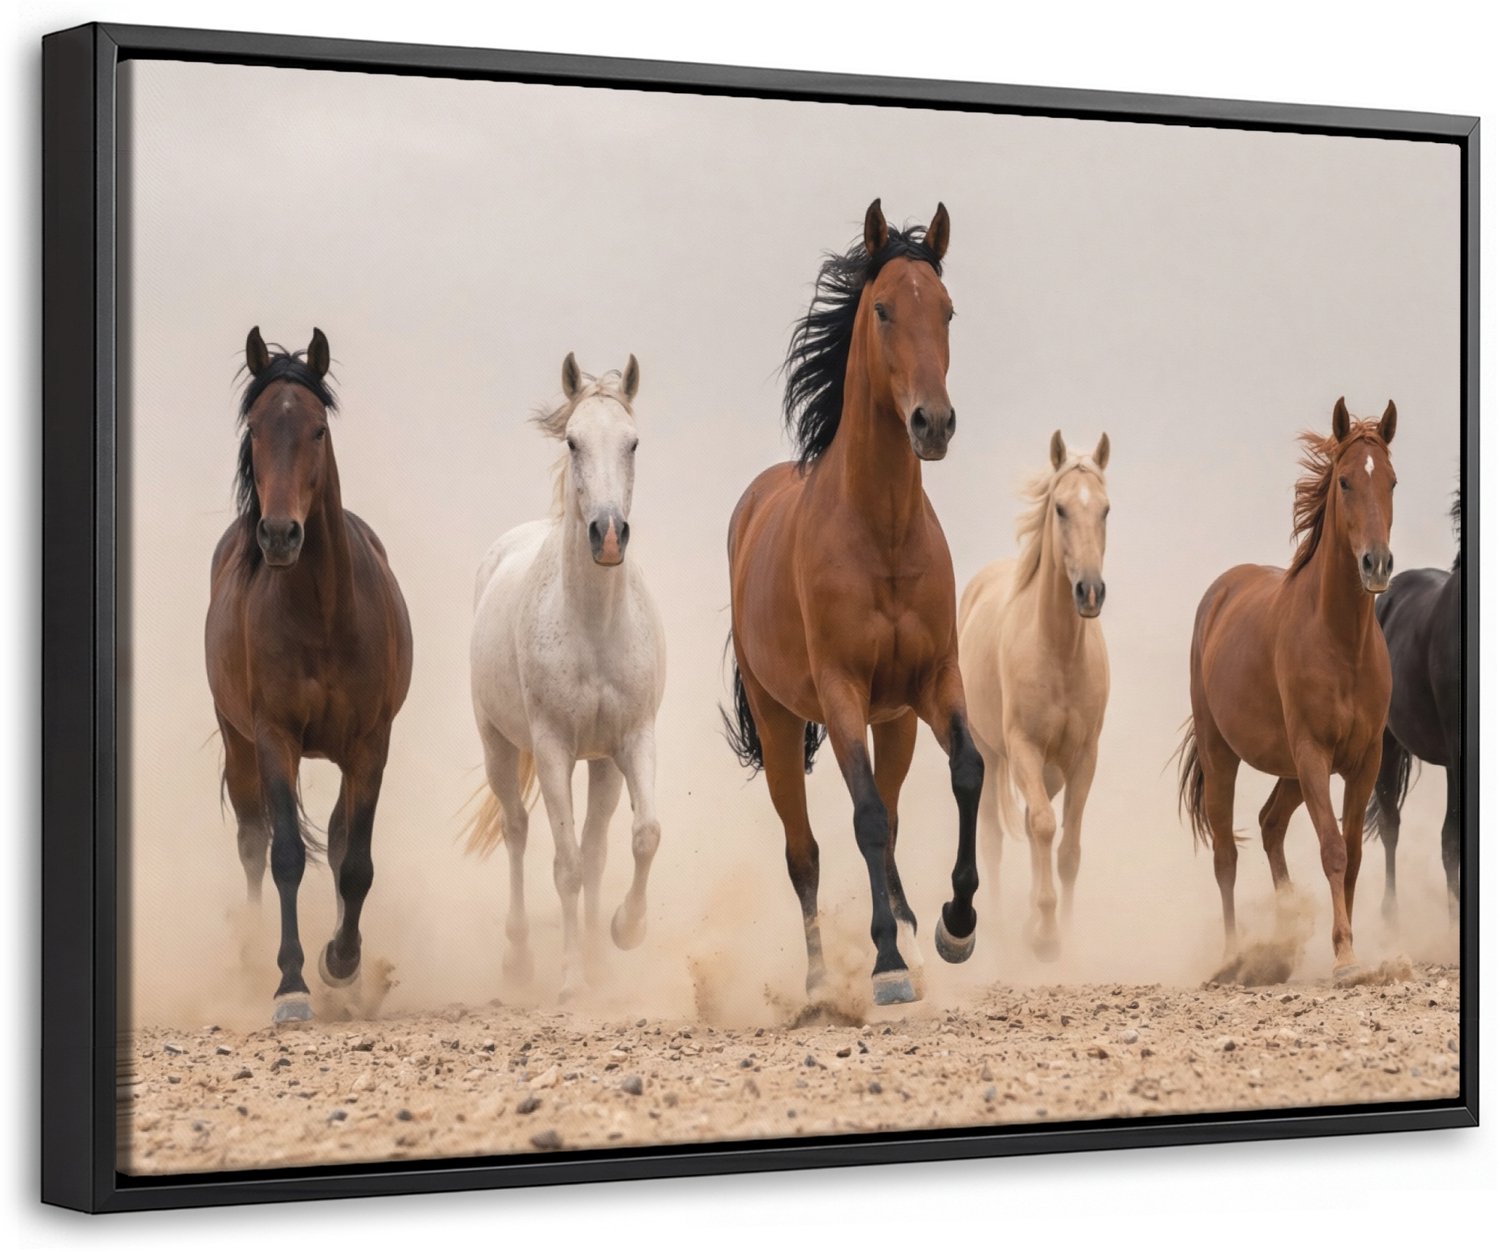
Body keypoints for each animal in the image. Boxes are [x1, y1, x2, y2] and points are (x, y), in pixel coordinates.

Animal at [205, 327, 413, 1024]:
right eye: (256, 428)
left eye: (318, 429)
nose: (278, 534)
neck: (322, 614)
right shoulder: (274, 737)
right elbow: (286, 856)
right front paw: (291, 985)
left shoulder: (371, 745)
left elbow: (356, 863)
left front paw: (341, 964)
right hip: (238, 743)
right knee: (251, 840)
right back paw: (249, 955)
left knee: (343, 838)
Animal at [466, 353, 665, 1001]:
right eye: (574, 441)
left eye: (633, 442)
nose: (608, 535)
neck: (594, 625)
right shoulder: (552, 749)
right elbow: (567, 864)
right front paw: (572, 980)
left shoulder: (632, 741)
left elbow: (641, 836)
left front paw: (624, 934)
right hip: (500, 747)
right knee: (518, 829)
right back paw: (520, 960)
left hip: (600, 764)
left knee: (599, 846)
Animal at [724, 199, 983, 1008]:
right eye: (883, 310)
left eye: (949, 310)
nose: (934, 424)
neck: (884, 534)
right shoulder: (839, 693)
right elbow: (863, 818)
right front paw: (886, 968)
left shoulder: (933, 682)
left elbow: (968, 772)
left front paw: (954, 928)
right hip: (780, 723)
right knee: (804, 851)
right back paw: (817, 983)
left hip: (893, 722)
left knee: (894, 817)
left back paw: (917, 937)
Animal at [958, 430, 1111, 962]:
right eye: (1060, 508)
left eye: (1105, 509)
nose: (1090, 591)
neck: (1058, 651)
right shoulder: (1022, 748)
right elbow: (1043, 827)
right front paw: (1044, 935)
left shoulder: (1082, 758)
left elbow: (1069, 850)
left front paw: (1060, 930)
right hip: (990, 755)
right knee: (992, 840)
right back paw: (1002, 929)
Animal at [1177, 397, 1397, 979]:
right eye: (1345, 481)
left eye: (1392, 480)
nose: (1377, 564)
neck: (1341, 643)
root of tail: (1221, 592)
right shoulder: (1313, 753)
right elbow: (1332, 850)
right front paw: (1344, 957)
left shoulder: (1365, 759)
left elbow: (1353, 854)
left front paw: (1348, 947)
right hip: (1224, 755)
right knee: (1226, 854)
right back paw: (1233, 957)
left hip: (1290, 771)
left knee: (1270, 824)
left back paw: (1281, 939)